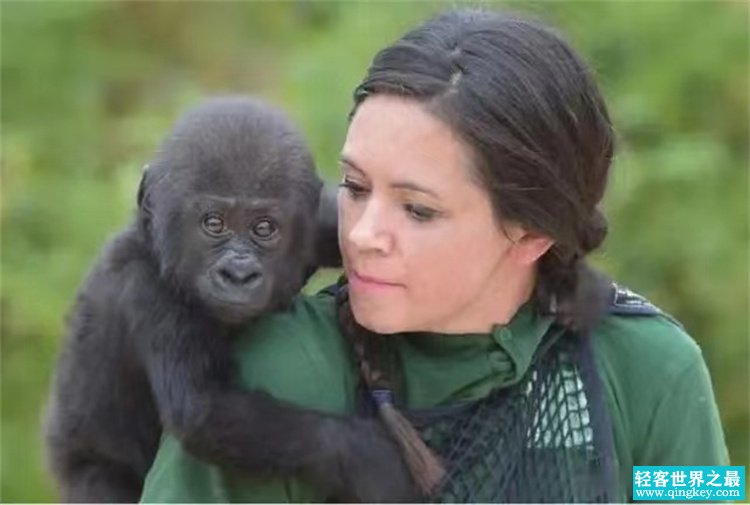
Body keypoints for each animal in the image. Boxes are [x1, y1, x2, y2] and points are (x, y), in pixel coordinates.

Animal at [43, 96, 418, 502]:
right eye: (214, 223)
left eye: (264, 228)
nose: (238, 274)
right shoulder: (149, 293)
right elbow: (202, 407)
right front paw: (366, 457)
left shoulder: (323, 223)